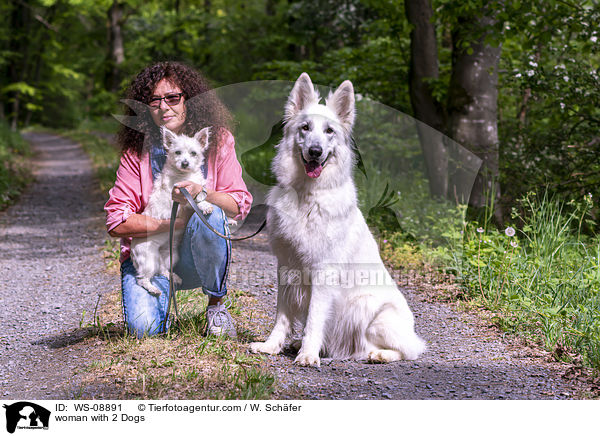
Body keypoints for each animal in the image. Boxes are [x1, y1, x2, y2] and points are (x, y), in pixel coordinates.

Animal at [131, 127, 213, 296]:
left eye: (193, 153)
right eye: (177, 152)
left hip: (171, 256)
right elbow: (196, 198)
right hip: (148, 260)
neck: (185, 175)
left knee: (162, 270)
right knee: (142, 279)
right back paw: (152, 288)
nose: (185, 163)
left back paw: (172, 276)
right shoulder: (181, 196)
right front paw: (204, 205)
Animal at [248, 73, 426, 366]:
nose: (315, 151)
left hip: (375, 314)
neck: (306, 196)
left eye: (329, 131)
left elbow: (313, 320)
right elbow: (282, 316)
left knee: (410, 349)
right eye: (305, 128)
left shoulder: (323, 272)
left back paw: (378, 354)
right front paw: (271, 346)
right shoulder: (286, 268)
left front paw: (308, 355)